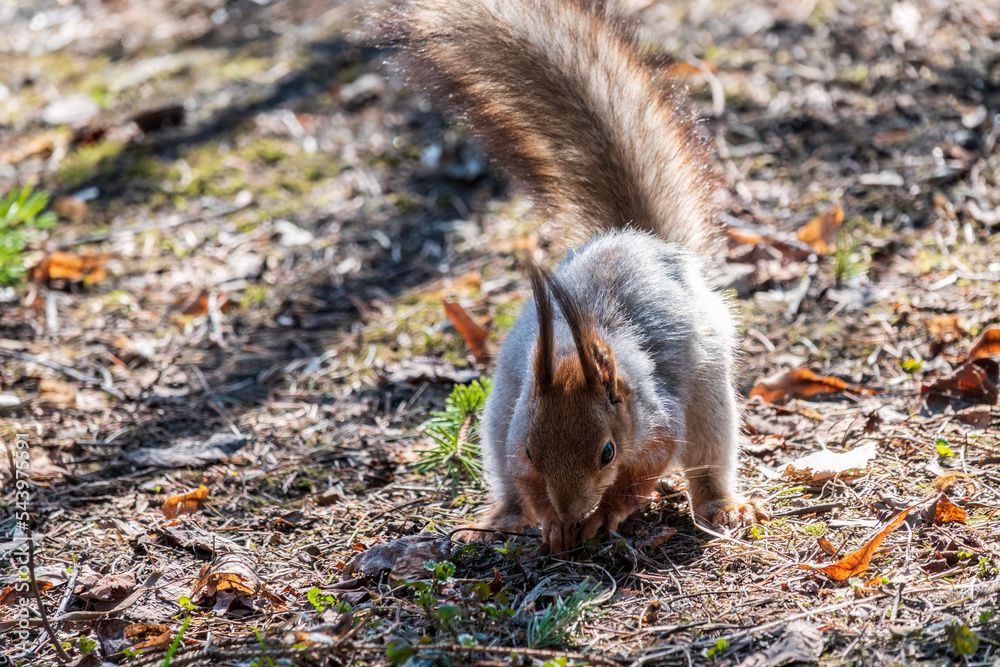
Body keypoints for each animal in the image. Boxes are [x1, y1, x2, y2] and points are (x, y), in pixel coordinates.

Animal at [383, 0, 768, 552]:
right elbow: (528, 485)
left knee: (707, 462)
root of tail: (636, 238)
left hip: (709, 394)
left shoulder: (657, 424)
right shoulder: (515, 435)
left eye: (607, 452)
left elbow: (640, 475)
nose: (571, 509)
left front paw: (602, 514)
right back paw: (501, 518)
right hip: (496, 415)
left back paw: (722, 506)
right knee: (506, 485)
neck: (571, 349)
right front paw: (552, 522)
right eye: (531, 452)